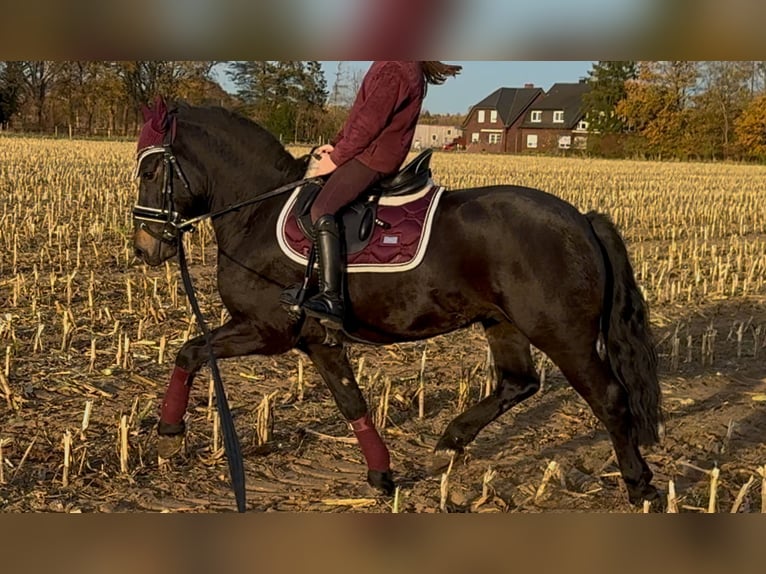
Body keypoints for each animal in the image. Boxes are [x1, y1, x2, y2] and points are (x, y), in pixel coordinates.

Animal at [132, 98, 663, 507]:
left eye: (152, 169)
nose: (144, 246)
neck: (257, 211)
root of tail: (581, 220)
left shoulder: (267, 330)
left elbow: (189, 351)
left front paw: (168, 434)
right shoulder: (318, 342)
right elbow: (352, 401)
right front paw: (382, 476)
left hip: (563, 334)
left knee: (610, 398)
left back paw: (641, 487)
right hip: (504, 324)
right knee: (519, 383)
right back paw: (451, 439)